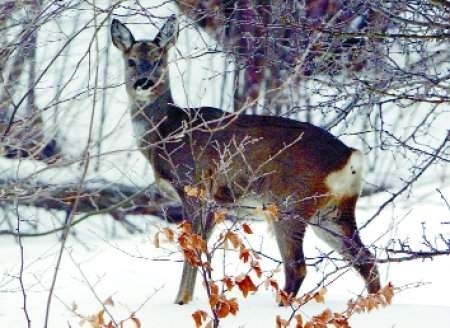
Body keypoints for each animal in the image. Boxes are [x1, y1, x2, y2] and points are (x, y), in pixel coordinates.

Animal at [111, 16, 380, 304]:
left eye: (159, 59)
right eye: (131, 61)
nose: (144, 82)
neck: (168, 132)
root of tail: (350, 157)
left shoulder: (194, 189)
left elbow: (192, 252)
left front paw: (180, 302)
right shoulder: (215, 205)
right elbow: (200, 251)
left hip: (290, 204)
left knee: (297, 267)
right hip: (331, 211)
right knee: (367, 260)